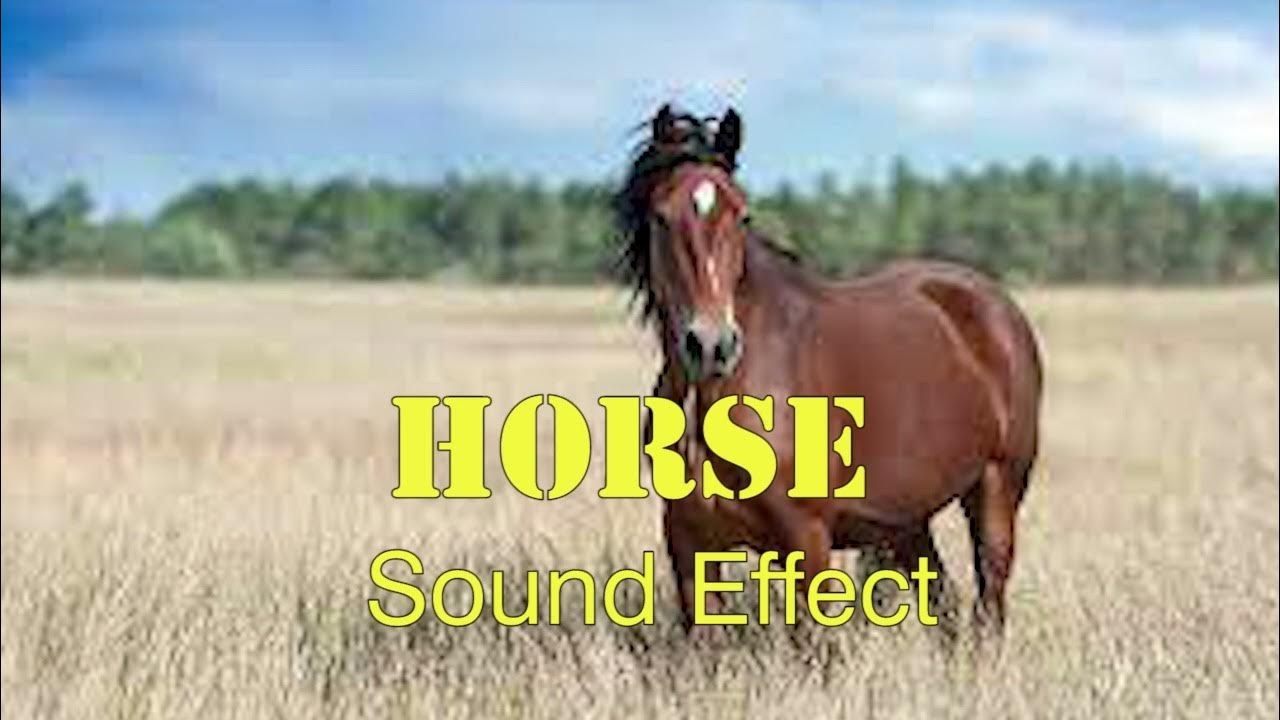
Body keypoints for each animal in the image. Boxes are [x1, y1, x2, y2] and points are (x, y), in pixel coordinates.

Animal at [613, 104, 1043, 639]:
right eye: (661, 217)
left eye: (743, 215)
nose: (712, 345)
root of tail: (995, 305)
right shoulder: (688, 543)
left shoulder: (806, 539)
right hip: (906, 523)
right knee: (943, 604)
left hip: (997, 490)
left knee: (989, 598)